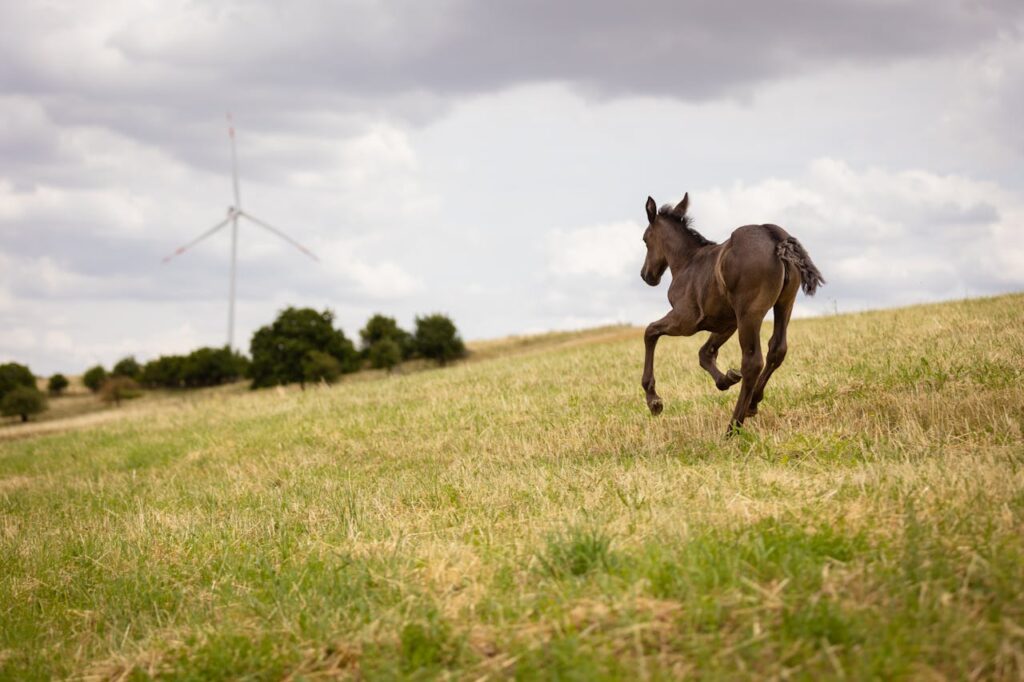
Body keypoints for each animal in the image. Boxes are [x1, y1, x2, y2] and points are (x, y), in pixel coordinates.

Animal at [639, 192, 824, 434]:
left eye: (645, 240)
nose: (646, 275)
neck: (688, 262)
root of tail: (774, 236)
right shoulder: (727, 322)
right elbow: (705, 353)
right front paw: (726, 379)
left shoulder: (686, 320)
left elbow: (650, 332)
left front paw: (654, 400)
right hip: (785, 304)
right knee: (777, 350)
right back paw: (752, 404)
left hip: (750, 314)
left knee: (753, 362)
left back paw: (733, 428)